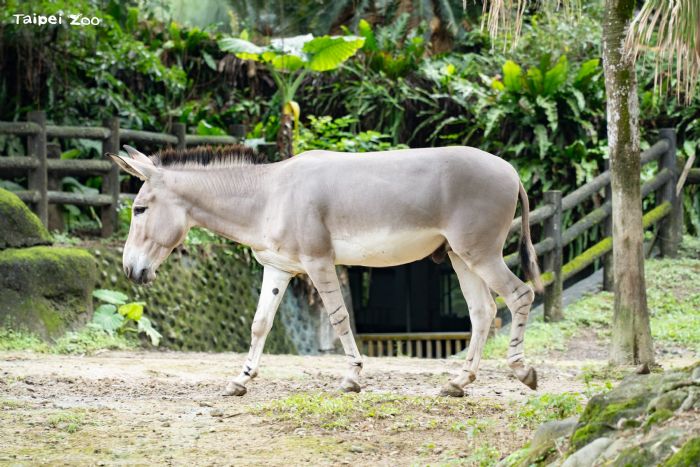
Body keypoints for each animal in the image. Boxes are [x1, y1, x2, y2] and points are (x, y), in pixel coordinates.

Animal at [108, 144, 542, 397]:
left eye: (139, 209)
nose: (130, 270)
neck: (268, 196)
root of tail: (510, 169)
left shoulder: (318, 262)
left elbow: (338, 317)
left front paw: (352, 378)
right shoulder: (279, 268)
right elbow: (260, 324)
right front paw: (240, 380)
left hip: (479, 251)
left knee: (520, 294)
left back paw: (522, 371)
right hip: (459, 255)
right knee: (483, 312)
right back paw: (458, 382)